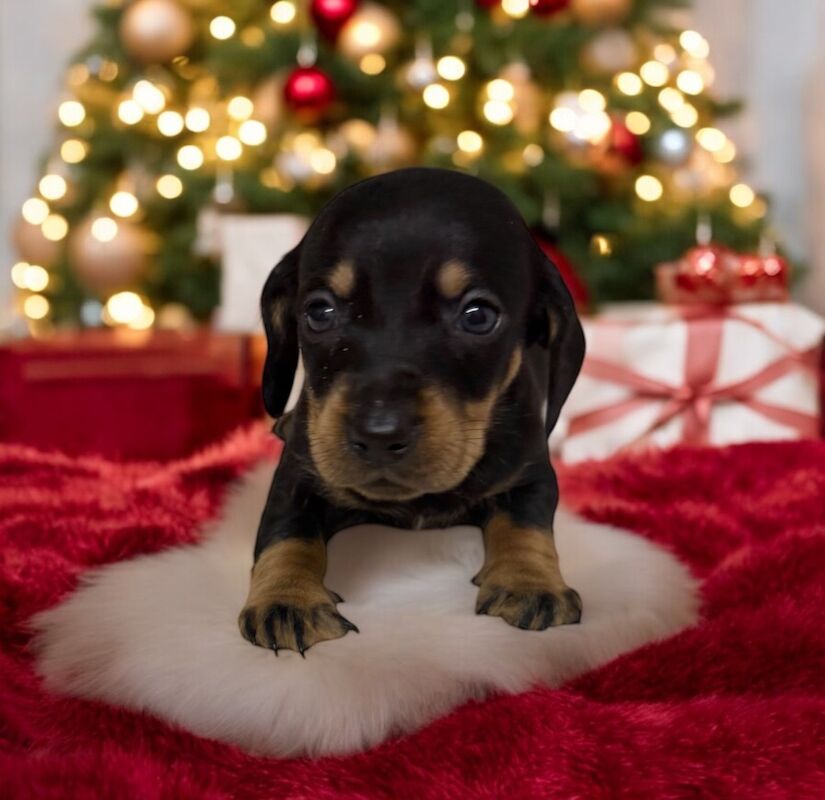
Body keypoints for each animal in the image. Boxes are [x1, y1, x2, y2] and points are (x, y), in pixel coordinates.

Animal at [238, 169, 584, 656]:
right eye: (319, 311)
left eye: (478, 316)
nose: (379, 435)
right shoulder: (297, 475)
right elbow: (286, 531)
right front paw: (287, 599)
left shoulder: (530, 471)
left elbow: (527, 523)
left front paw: (531, 582)